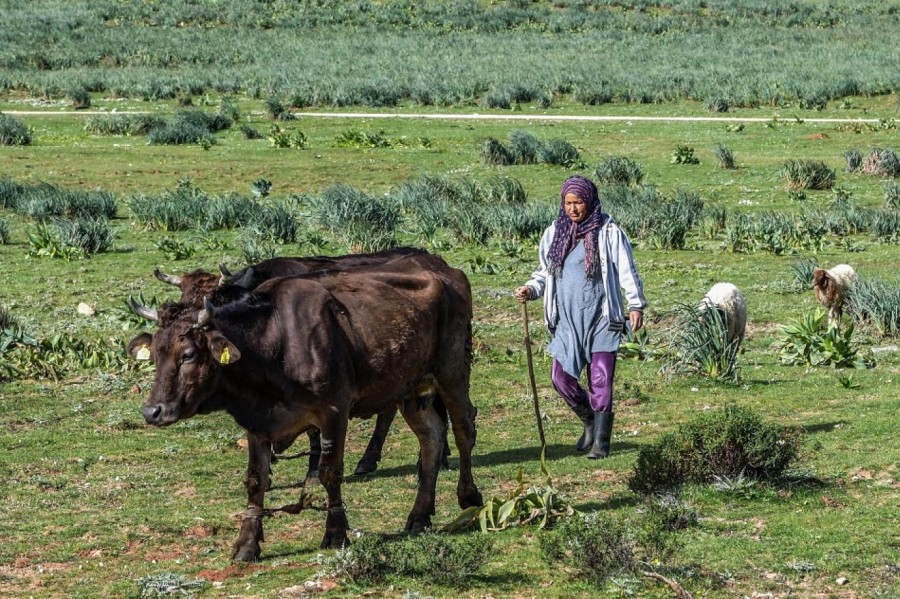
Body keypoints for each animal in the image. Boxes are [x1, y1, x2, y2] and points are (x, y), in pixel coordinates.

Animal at [130, 254, 482, 564]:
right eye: (156, 354)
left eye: (188, 354)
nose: (152, 412)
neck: (275, 344)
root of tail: (448, 271)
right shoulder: (258, 424)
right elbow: (256, 481)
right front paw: (247, 544)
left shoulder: (334, 412)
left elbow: (329, 472)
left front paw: (336, 532)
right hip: (410, 389)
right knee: (431, 438)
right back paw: (419, 515)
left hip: (452, 372)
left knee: (463, 428)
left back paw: (469, 497)